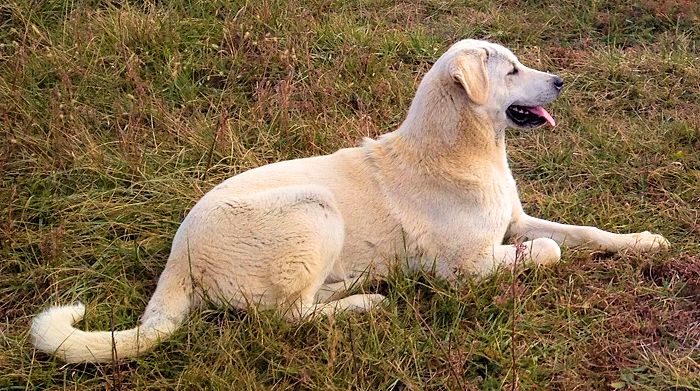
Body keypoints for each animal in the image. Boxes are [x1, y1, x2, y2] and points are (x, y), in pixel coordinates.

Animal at [30, 39, 668, 364]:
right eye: (511, 71)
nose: (561, 82)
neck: (463, 150)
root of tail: (178, 256)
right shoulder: (464, 269)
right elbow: (549, 253)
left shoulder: (516, 220)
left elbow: (583, 234)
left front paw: (644, 241)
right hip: (313, 208)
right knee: (286, 317)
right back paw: (365, 302)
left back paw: (353, 286)